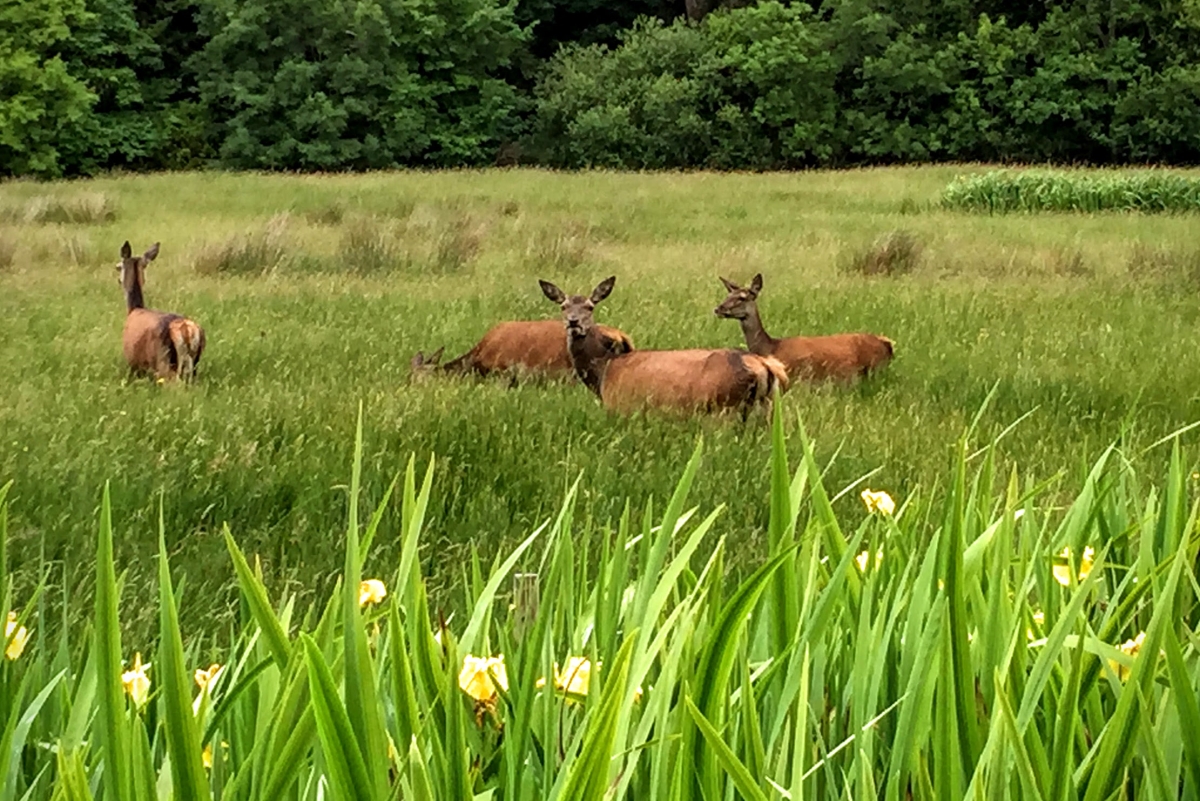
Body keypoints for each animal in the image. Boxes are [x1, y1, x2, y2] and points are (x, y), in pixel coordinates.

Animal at [116, 241, 206, 382]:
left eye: (118, 267)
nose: (119, 281)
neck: (134, 309)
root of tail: (187, 330)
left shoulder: (132, 361)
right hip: (195, 363)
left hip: (163, 362)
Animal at [540, 276, 788, 418]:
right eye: (563, 306)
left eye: (590, 307)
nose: (574, 322)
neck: (603, 371)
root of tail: (764, 367)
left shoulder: (622, 407)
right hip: (766, 410)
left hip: (723, 408)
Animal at [714, 273, 894, 384]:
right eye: (728, 295)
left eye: (742, 298)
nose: (718, 308)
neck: (771, 347)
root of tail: (887, 345)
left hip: (875, 370)